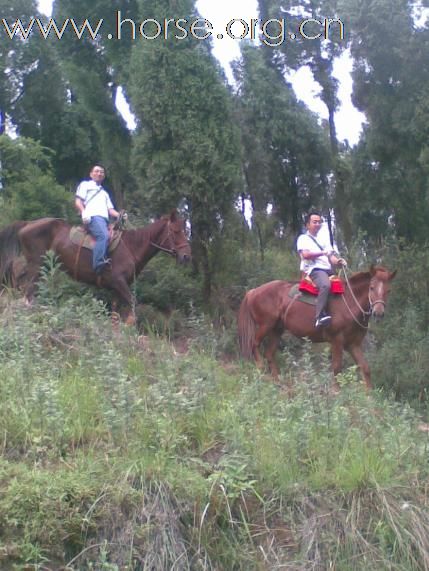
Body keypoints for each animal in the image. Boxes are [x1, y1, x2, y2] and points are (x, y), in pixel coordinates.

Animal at [0, 211, 189, 326]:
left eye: (185, 231)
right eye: (175, 231)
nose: (186, 256)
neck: (131, 246)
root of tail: (27, 223)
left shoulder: (116, 287)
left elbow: (115, 311)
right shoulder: (119, 282)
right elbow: (133, 302)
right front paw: (130, 322)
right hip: (37, 264)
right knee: (26, 285)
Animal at [237, 266, 394, 392]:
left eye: (388, 290)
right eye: (371, 287)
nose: (378, 313)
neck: (349, 302)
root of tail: (253, 291)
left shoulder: (353, 344)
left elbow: (365, 368)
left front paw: (369, 395)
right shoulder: (337, 340)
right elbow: (336, 367)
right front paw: (336, 392)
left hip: (276, 330)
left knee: (269, 354)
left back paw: (277, 383)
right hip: (266, 325)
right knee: (254, 344)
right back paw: (260, 369)